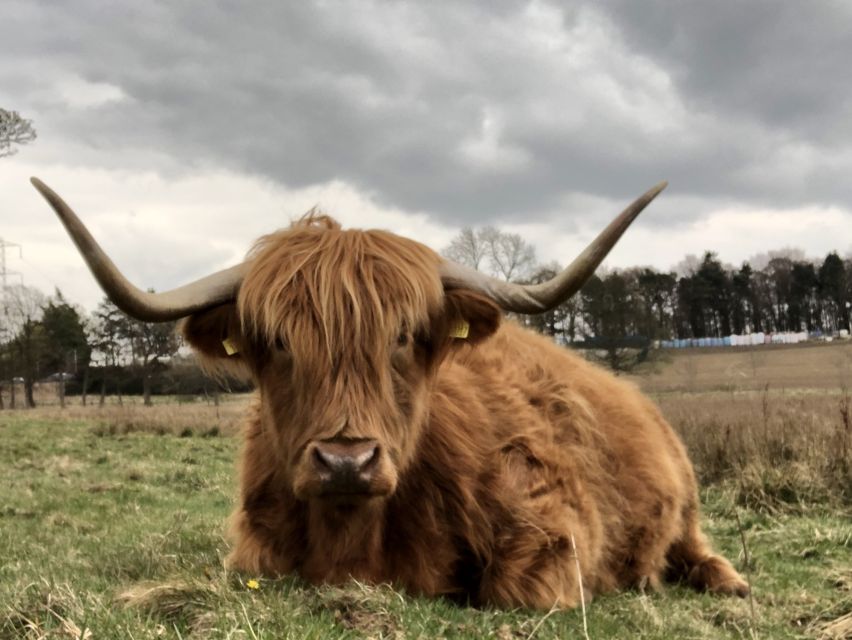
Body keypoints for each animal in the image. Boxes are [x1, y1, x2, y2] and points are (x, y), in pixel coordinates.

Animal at [33, 178, 744, 608]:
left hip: (685, 504)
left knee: (695, 548)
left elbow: (513, 591)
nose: (346, 461)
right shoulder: (255, 548)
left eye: (402, 336)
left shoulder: (557, 533)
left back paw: (724, 583)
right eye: (279, 341)